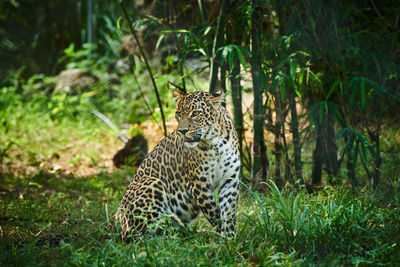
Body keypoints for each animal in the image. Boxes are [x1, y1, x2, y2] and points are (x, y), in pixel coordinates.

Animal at [115, 90, 241, 243]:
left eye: (195, 113)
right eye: (178, 113)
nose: (182, 131)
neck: (216, 144)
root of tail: (116, 221)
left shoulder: (230, 180)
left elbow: (229, 212)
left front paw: (231, 239)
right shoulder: (199, 185)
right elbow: (214, 212)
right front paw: (224, 240)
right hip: (153, 183)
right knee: (138, 236)